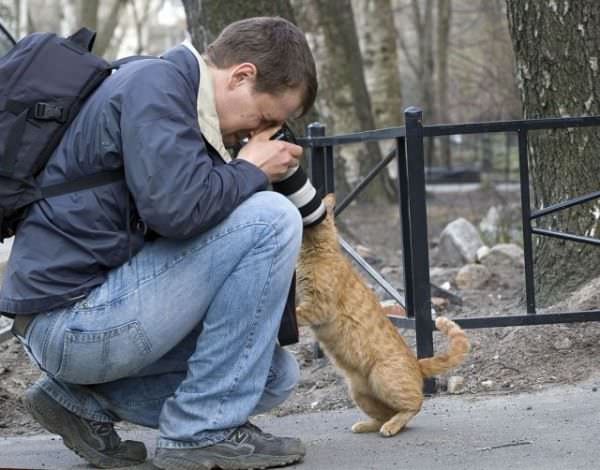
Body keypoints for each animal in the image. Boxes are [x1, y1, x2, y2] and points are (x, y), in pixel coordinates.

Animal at [298, 195, 472, 436]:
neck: (316, 249)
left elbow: (295, 313)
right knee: (386, 413)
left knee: (415, 404)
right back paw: (371, 424)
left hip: (382, 376)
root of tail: (417, 363)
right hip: (360, 392)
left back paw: (391, 426)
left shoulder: (318, 306)